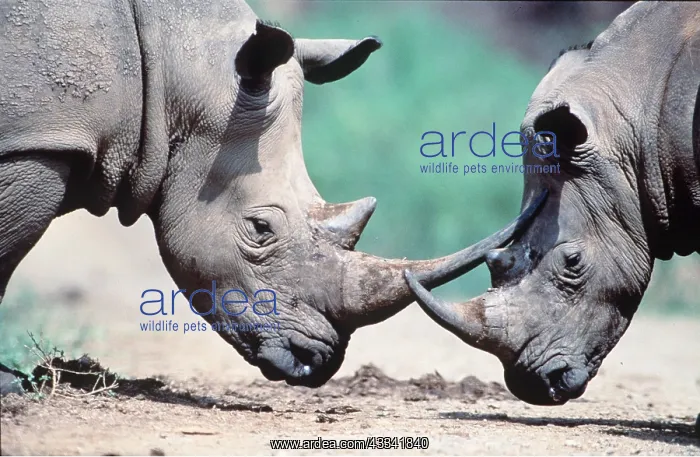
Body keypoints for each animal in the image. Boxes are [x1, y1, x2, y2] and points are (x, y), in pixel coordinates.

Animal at [0, 0, 545, 394]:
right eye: (260, 228)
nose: (317, 362)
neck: (173, 68)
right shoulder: (37, 142)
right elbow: (9, 249)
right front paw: (9, 387)